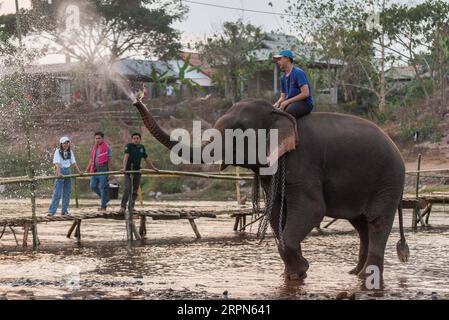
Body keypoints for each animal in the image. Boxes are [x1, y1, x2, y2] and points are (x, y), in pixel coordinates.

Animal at [131, 98, 408, 282]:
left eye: (237, 133)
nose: (136, 99)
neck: (277, 114)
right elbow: (276, 211)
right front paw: (294, 274)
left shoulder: (302, 162)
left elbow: (312, 210)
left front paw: (301, 270)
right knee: (361, 225)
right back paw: (355, 274)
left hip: (388, 180)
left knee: (377, 222)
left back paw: (368, 278)